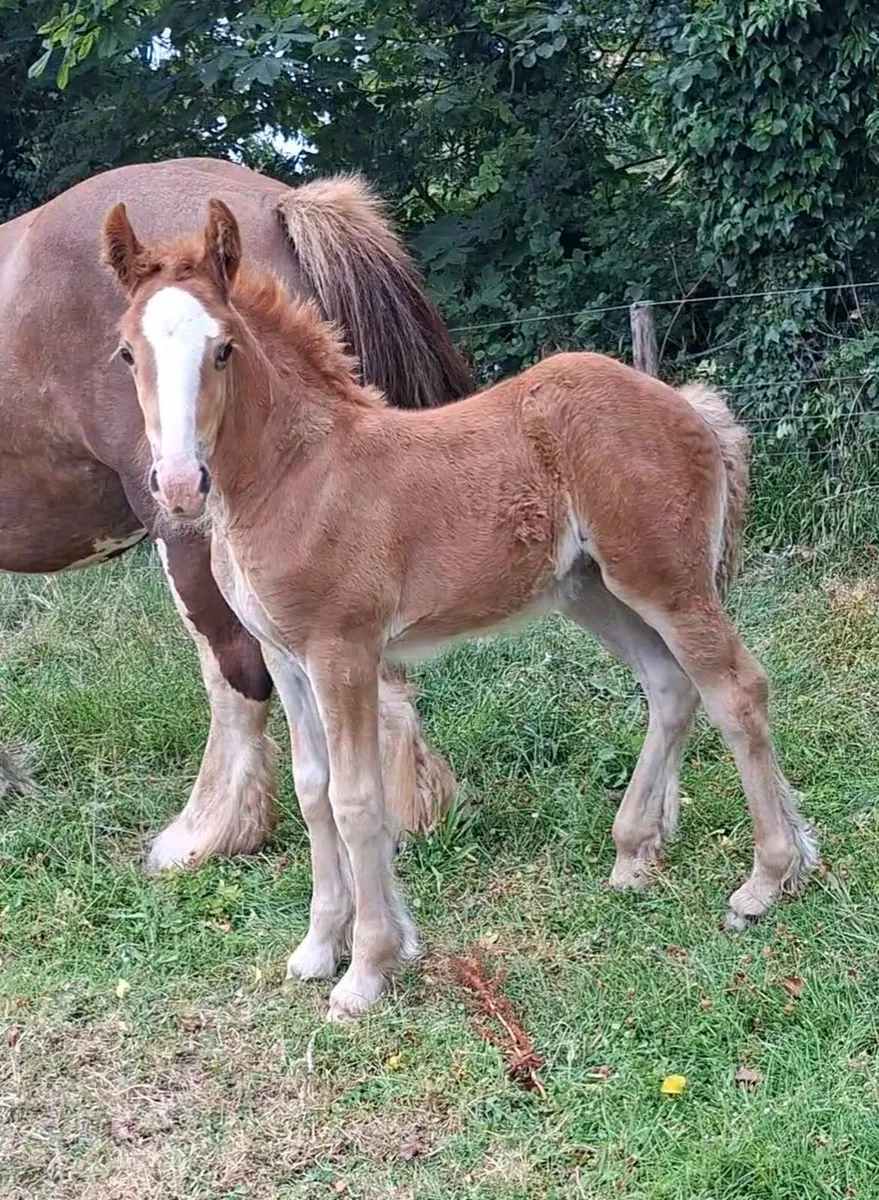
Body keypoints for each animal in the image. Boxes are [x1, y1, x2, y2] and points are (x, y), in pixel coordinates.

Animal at [104, 198, 818, 1019]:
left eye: (221, 350)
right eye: (127, 355)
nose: (178, 484)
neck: (295, 476)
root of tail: (687, 404)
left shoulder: (342, 650)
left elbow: (356, 799)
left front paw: (368, 971)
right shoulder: (284, 656)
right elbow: (312, 791)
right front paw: (318, 948)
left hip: (665, 583)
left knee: (736, 691)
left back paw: (764, 882)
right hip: (593, 591)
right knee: (672, 689)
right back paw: (635, 855)